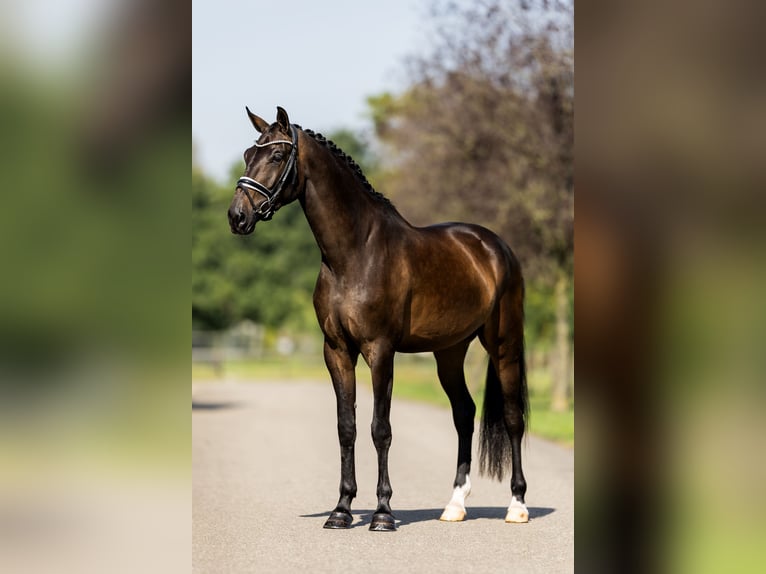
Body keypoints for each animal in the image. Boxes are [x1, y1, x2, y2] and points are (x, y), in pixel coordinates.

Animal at [225, 107, 532, 532]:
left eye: (276, 156)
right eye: (246, 155)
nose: (237, 217)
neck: (355, 254)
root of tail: (493, 245)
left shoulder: (380, 351)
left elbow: (380, 429)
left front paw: (383, 513)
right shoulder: (337, 351)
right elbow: (347, 427)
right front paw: (341, 510)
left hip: (505, 344)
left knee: (512, 417)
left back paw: (517, 506)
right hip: (450, 352)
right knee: (464, 414)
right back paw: (454, 505)